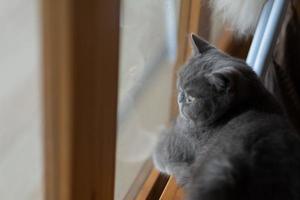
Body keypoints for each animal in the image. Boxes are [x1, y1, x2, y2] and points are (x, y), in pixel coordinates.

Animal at [154, 34, 300, 200]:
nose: (180, 98)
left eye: (191, 98)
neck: (248, 103)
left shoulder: (177, 142)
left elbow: (160, 153)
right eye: (180, 86)